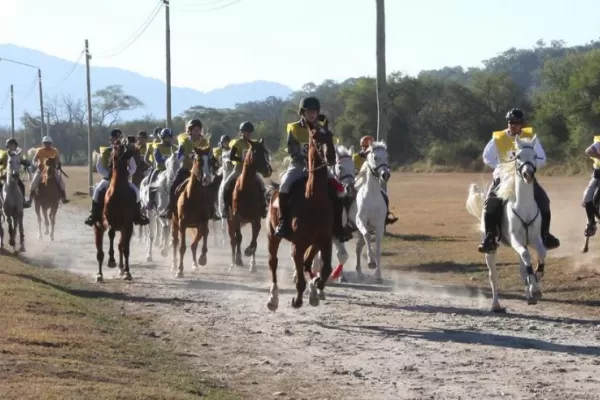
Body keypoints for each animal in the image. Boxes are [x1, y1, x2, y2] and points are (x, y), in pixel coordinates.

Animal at [94, 142, 137, 282]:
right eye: (112, 151)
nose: (110, 165)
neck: (119, 192)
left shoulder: (128, 225)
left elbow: (126, 249)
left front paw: (127, 272)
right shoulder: (108, 220)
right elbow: (111, 233)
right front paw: (111, 260)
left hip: (122, 230)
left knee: (120, 246)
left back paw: (122, 270)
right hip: (98, 228)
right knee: (100, 253)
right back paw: (99, 274)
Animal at [170, 147, 217, 278]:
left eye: (210, 161)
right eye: (199, 160)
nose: (207, 179)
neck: (193, 198)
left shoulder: (203, 222)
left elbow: (202, 238)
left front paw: (202, 259)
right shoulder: (182, 223)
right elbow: (182, 247)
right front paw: (179, 270)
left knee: (195, 244)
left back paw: (195, 264)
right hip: (175, 223)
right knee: (175, 241)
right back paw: (174, 264)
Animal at [225, 139, 272, 274]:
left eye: (266, 152)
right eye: (256, 152)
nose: (268, 170)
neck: (246, 189)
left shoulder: (256, 219)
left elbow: (254, 240)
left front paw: (252, 262)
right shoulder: (236, 218)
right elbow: (238, 238)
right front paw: (238, 260)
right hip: (230, 221)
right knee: (233, 240)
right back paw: (233, 263)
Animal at [264, 123, 336, 310]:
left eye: (331, 135)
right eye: (315, 136)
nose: (331, 156)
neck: (313, 201)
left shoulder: (324, 241)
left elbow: (326, 269)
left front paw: (317, 285)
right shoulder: (299, 243)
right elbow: (300, 277)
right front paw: (297, 299)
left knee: (306, 263)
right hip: (272, 236)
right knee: (273, 262)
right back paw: (273, 298)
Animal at [466, 136, 548, 314]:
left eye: (535, 155)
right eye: (517, 156)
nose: (528, 174)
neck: (523, 206)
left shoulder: (534, 239)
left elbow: (541, 253)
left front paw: (536, 283)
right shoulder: (515, 240)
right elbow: (527, 256)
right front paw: (535, 288)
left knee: (523, 268)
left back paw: (529, 294)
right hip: (491, 249)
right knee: (493, 276)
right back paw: (496, 305)